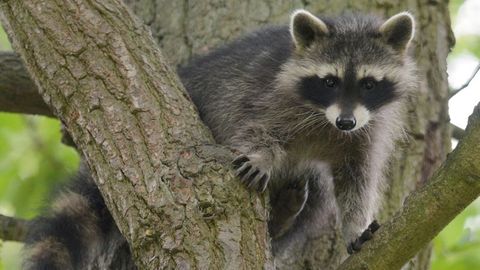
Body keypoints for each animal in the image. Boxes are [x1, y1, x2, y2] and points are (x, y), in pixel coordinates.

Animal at [24, 9, 416, 268]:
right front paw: (260, 157)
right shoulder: (268, 97)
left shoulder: (367, 131)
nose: (346, 121)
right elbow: (256, 128)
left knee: (317, 191)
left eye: (368, 84)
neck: (325, 121)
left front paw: (356, 227)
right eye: (330, 81)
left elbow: (356, 180)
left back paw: (282, 220)